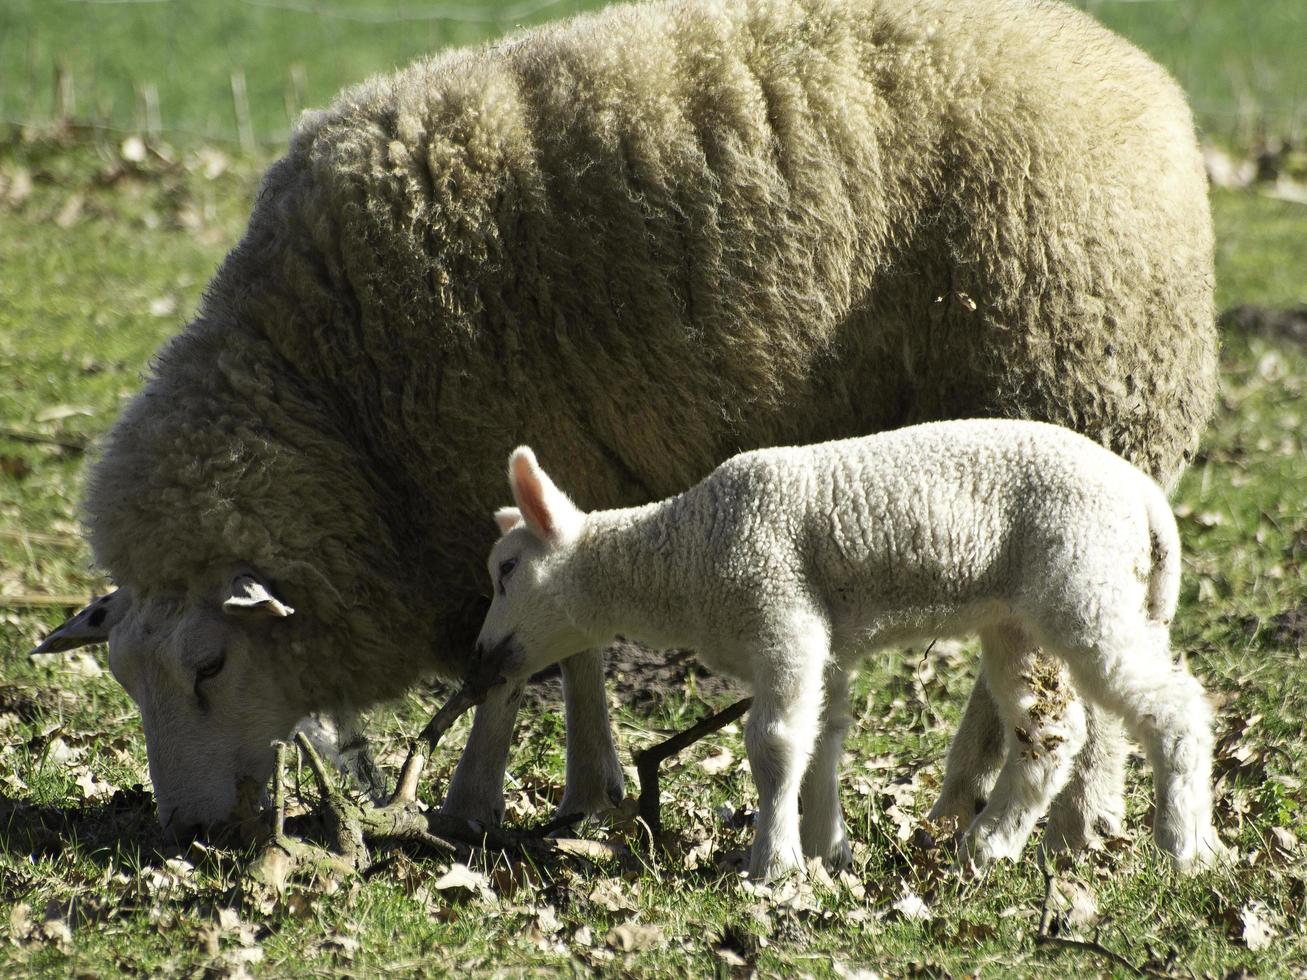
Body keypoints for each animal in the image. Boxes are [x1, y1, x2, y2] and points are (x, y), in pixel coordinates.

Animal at [478, 418, 1223, 878]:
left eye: (506, 571)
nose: (482, 659)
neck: (682, 559)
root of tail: (1146, 499)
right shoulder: (822, 641)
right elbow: (823, 737)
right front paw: (827, 850)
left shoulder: (779, 608)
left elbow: (775, 742)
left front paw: (773, 864)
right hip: (1032, 612)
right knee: (1051, 727)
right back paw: (992, 846)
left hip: (1083, 577)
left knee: (1173, 708)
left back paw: (1179, 846)